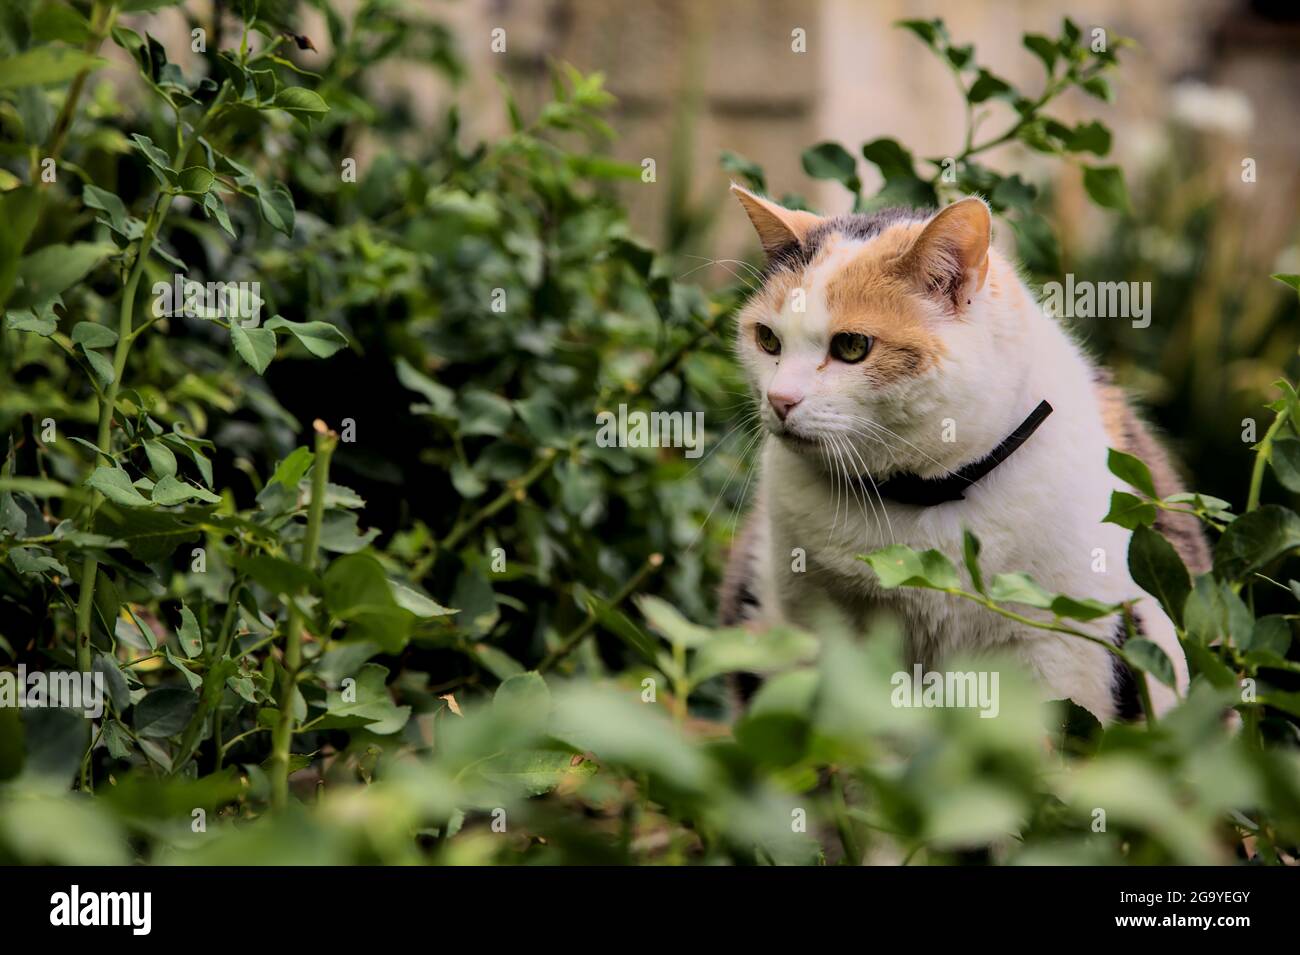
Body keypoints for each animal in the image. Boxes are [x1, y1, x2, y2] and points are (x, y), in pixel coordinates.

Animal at [722, 184, 1206, 722]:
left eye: (851, 346)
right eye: (768, 339)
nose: (779, 399)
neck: (921, 498)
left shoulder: (1057, 649)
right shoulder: (816, 626)